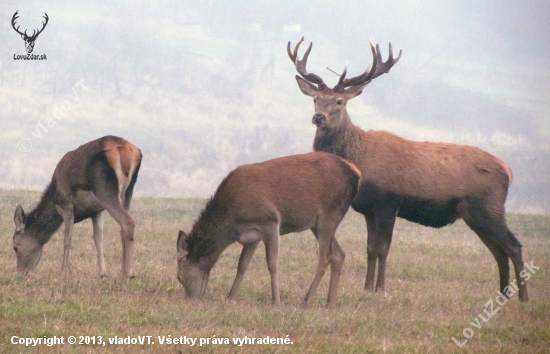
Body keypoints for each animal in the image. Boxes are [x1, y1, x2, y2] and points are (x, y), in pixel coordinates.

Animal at [13, 135, 142, 276]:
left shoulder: (66, 205)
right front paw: (102, 273)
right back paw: (123, 271)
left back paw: (129, 273)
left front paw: (63, 273)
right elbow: (98, 239)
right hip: (129, 190)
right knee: (123, 227)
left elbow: (67, 240)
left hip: (105, 190)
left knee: (128, 221)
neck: (54, 201)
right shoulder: (96, 211)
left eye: (15, 247)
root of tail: (128, 150)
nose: (22, 272)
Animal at [179, 152, 364, 306]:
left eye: (179, 277)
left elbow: (272, 263)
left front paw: (276, 301)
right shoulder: (252, 236)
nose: (191, 299)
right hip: (317, 224)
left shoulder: (271, 221)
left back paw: (306, 300)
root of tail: (357, 174)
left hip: (329, 215)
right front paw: (231, 297)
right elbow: (242, 264)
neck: (230, 223)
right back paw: (330, 303)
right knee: (339, 254)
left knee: (325, 257)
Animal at [288, 36, 532, 302]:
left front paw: (381, 289)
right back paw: (503, 295)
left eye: (339, 101)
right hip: (476, 214)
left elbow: (383, 249)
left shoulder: (388, 201)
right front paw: (366, 288)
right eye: (315, 99)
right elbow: (370, 249)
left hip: (489, 207)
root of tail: (508, 171)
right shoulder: (368, 208)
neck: (361, 163)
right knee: (498, 251)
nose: (319, 117)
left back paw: (523, 298)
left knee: (513, 246)